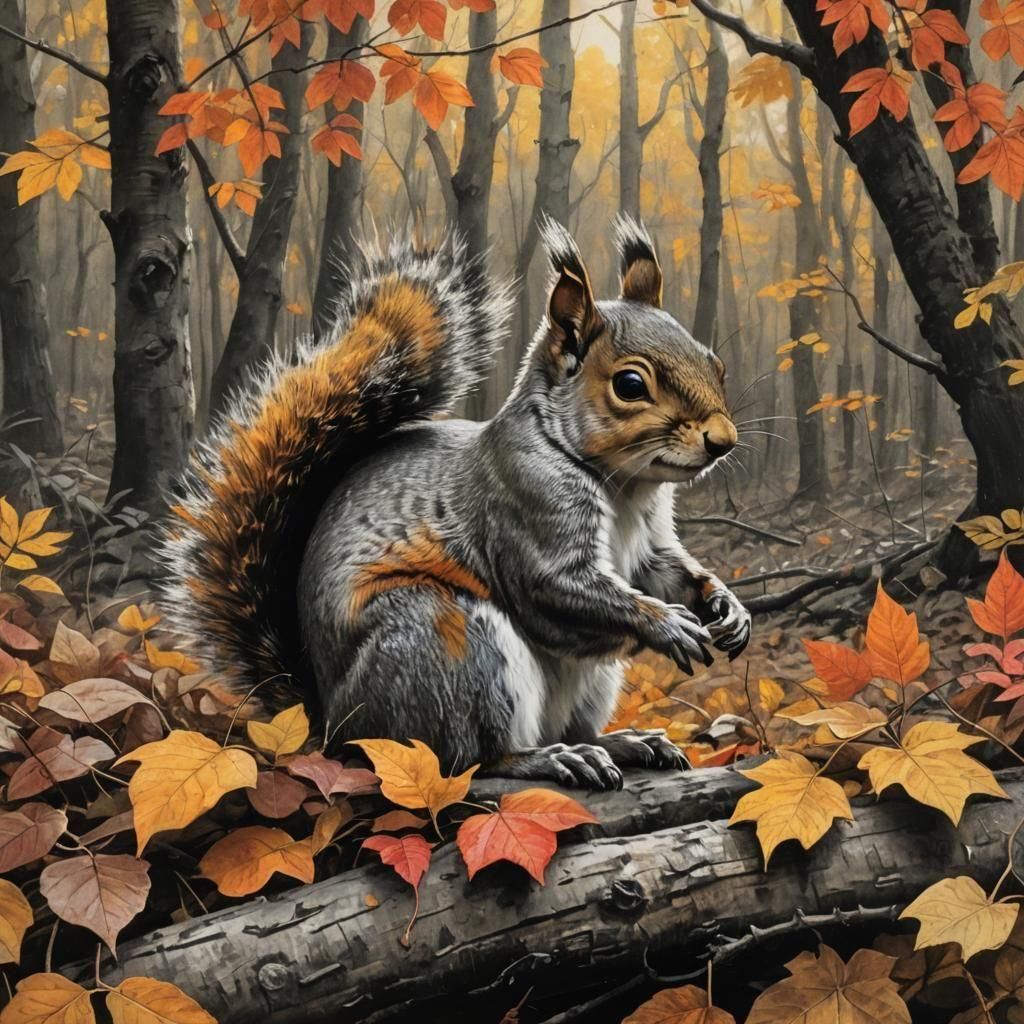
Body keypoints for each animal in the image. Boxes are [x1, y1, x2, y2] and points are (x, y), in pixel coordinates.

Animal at [161, 215, 751, 790]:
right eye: (630, 384)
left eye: (717, 364)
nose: (723, 440)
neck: (624, 486)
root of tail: (333, 725)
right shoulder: (524, 508)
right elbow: (556, 589)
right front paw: (667, 624)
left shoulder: (650, 540)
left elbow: (666, 571)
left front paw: (726, 606)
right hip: (450, 644)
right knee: (471, 759)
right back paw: (549, 759)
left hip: (582, 680)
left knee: (568, 726)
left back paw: (624, 742)